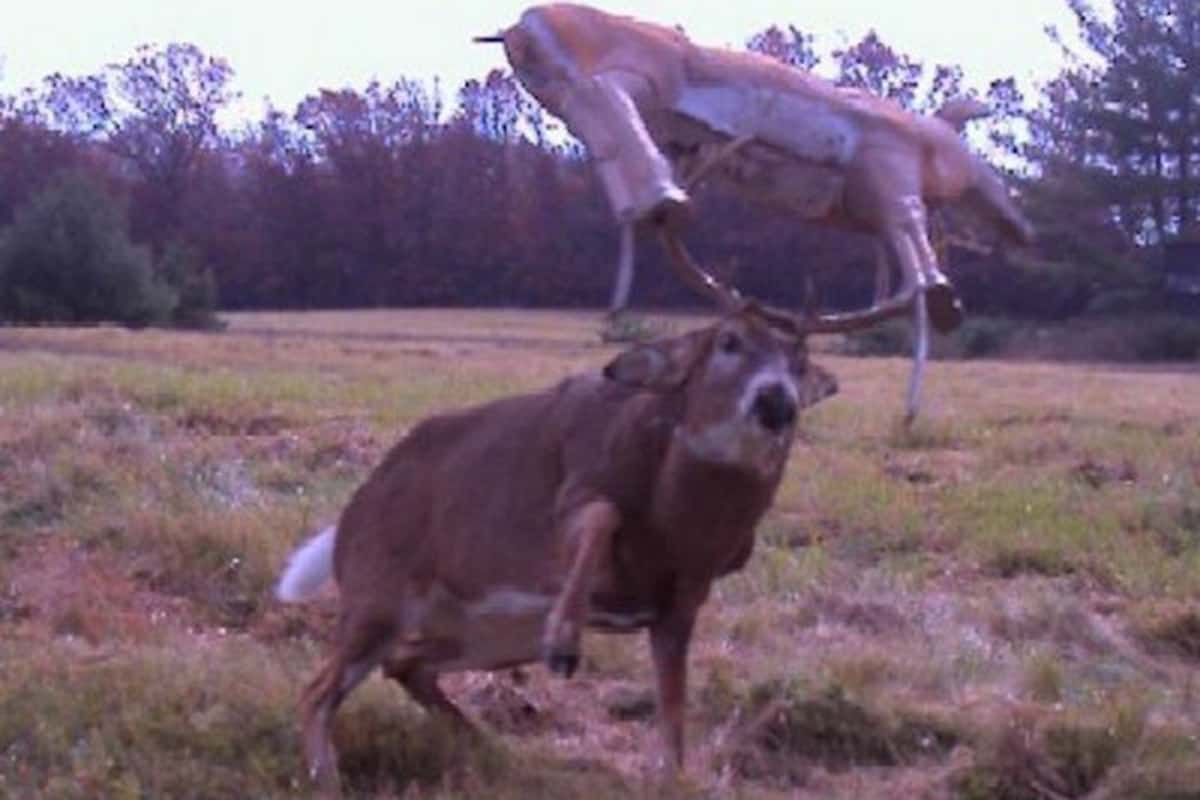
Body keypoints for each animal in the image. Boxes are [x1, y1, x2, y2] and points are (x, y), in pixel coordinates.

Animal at [276, 307, 849, 786]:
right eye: (729, 341)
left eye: (800, 362)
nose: (777, 401)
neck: (676, 529)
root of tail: (348, 519)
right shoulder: (573, 496)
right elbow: (601, 512)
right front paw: (565, 639)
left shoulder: (683, 599)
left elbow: (673, 726)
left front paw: (671, 777)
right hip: (378, 593)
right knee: (315, 693)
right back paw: (327, 780)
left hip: (490, 630)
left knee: (402, 663)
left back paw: (486, 745)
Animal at [477, 4, 1032, 419]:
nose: (1023, 229)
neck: (931, 145)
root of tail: (521, 23)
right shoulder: (890, 177)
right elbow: (913, 247)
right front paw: (940, 310)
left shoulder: (870, 204)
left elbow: (900, 255)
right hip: (622, 79)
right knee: (603, 99)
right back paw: (664, 204)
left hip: (580, 91)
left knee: (602, 130)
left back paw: (651, 219)